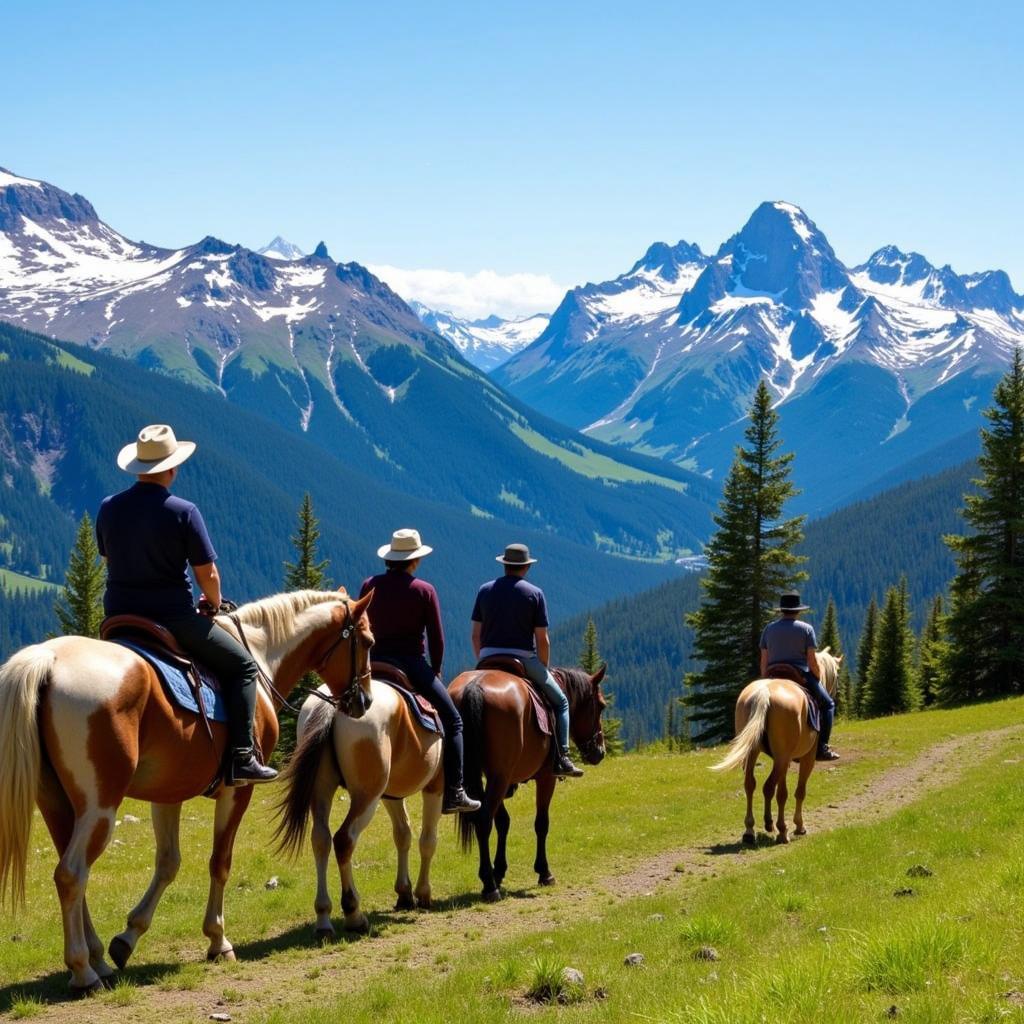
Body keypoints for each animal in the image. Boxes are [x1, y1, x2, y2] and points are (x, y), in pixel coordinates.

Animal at [0, 589, 374, 995]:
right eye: (367, 641)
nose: (365, 702)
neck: (261, 656)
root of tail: (49, 659)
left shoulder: (169, 795)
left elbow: (168, 863)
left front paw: (127, 938)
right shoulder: (237, 791)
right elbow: (220, 863)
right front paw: (218, 941)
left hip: (57, 805)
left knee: (74, 875)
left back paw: (98, 959)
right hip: (100, 807)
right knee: (70, 874)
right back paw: (83, 971)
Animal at [274, 671, 446, 937]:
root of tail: (333, 705)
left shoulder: (390, 796)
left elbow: (403, 835)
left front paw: (404, 893)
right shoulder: (435, 787)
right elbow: (428, 840)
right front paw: (423, 893)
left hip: (323, 790)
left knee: (321, 839)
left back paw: (323, 918)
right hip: (367, 797)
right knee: (344, 839)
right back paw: (354, 914)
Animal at [450, 659, 606, 901]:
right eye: (601, 705)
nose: (600, 752)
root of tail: (474, 687)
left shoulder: (496, 777)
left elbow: (503, 822)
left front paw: (499, 870)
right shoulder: (546, 777)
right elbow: (541, 823)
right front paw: (544, 872)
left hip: (485, 776)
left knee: (482, 818)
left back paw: (490, 879)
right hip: (500, 776)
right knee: (484, 820)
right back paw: (489, 886)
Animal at [712, 647, 839, 847]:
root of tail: (764, 693)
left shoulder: (784, 761)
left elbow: (783, 791)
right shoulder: (807, 757)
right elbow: (798, 791)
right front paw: (798, 826)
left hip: (755, 752)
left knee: (751, 784)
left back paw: (750, 830)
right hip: (782, 757)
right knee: (769, 787)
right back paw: (776, 827)